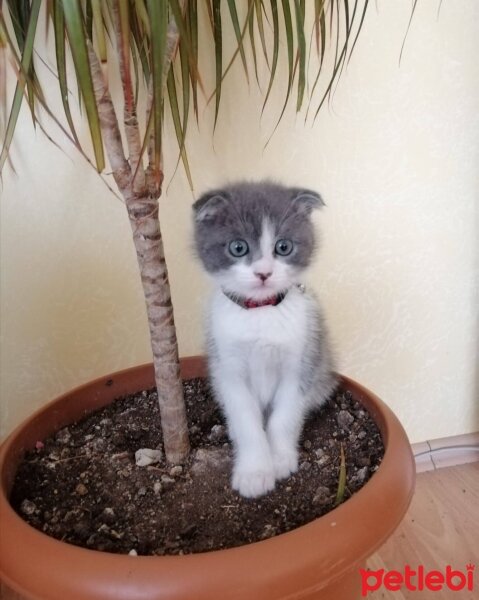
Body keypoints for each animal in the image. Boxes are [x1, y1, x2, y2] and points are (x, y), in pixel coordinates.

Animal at [192, 180, 338, 500]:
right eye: (238, 247)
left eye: (283, 247)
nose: (263, 273)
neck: (260, 314)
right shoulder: (228, 368)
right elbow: (245, 419)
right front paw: (255, 472)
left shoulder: (301, 360)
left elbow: (285, 415)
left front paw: (280, 459)